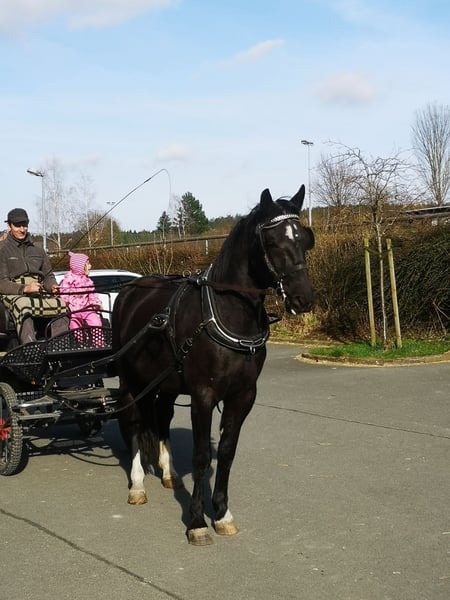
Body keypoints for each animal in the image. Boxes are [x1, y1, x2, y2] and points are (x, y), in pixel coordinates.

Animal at [111, 184, 315, 545]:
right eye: (272, 242)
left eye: (305, 239)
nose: (303, 299)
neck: (226, 312)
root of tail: (129, 290)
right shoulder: (203, 396)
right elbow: (202, 456)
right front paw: (196, 522)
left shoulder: (243, 396)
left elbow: (229, 453)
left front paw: (221, 513)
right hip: (131, 380)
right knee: (134, 422)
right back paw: (137, 485)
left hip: (164, 383)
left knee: (160, 417)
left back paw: (168, 473)